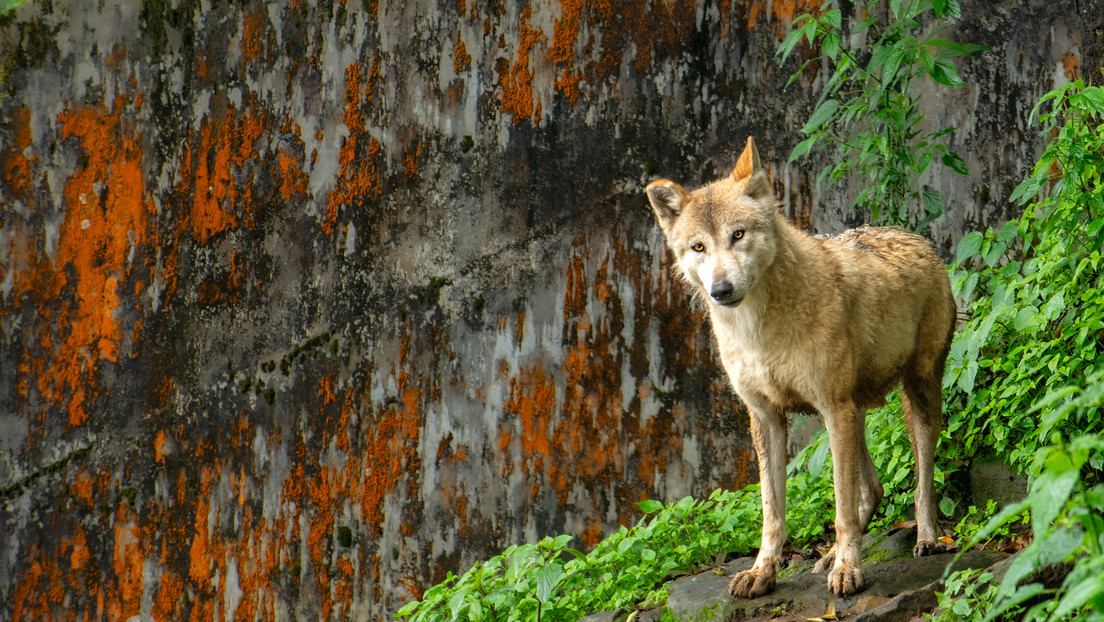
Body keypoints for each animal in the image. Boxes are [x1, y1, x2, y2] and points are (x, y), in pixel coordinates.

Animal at [644, 137, 956, 597]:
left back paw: (926, 539)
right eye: (698, 247)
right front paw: (763, 572)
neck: (759, 332)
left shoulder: (833, 407)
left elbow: (841, 509)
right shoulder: (766, 417)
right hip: (850, 414)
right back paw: (828, 556)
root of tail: (916, 236)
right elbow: (772, 512)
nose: (721, 290)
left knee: (921, 480)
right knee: (874, 488)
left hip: (911, 398)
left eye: (738, 235)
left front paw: (847, 570)